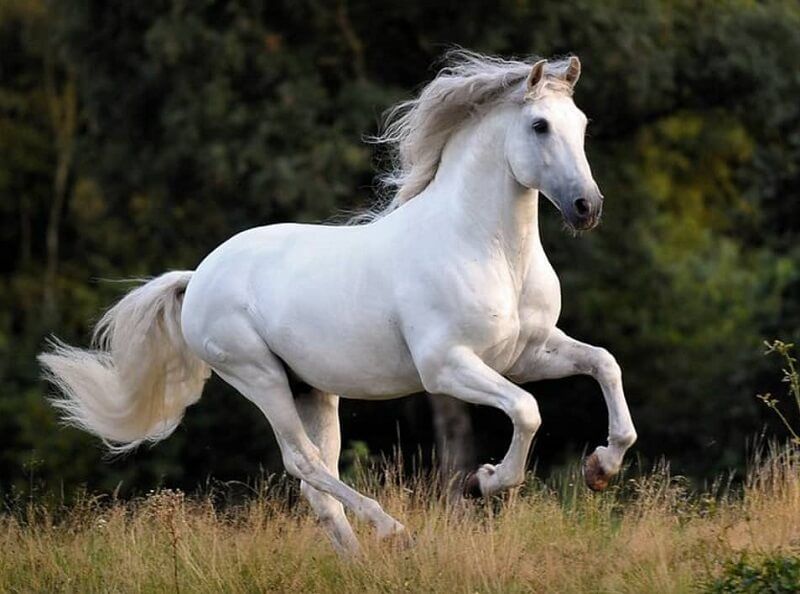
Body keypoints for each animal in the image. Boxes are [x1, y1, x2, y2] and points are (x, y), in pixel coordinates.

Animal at [39, 50, 637, 554]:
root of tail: (199, 276)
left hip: (312, 389)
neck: (486, 247)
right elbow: (527, 411)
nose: (588, 207)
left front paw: (601, 469)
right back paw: (394, 531)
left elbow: (604, 364)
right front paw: (484, 482)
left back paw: (363, 560)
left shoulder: (525, 353)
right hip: (258, 376)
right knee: (303, 462)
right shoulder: (448, 366)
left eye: (581, 124)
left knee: (317, 485)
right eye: (539, 126)